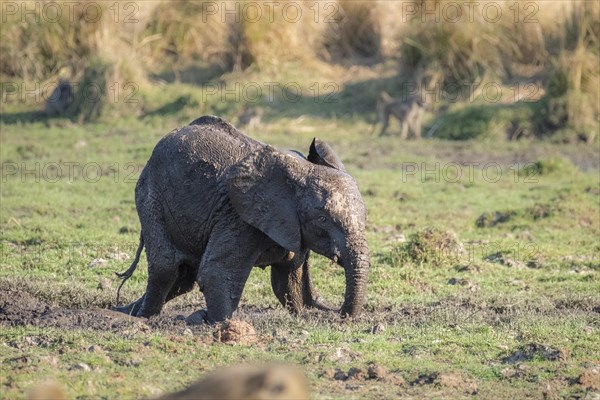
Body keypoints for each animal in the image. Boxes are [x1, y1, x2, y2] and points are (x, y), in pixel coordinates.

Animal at [111, 115, 366, 324]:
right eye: (323, 219)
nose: (338, 313)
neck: (301, 171)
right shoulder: (239, 218)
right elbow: (216, 272)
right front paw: (218, 323)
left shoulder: (292, 228)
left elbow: (287, 280)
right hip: (150, 194)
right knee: (166, 267)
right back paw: (141, 316)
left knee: (184, 277)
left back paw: (127, 311)